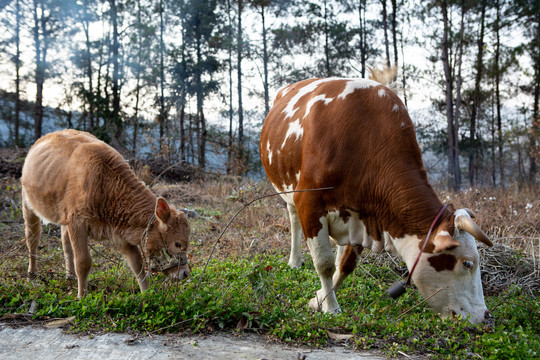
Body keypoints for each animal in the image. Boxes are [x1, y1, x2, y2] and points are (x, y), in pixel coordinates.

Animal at [21, 129, 190, 296]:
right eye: (177, 243)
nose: (185, 273)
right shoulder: (77, 223)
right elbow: (83, 262)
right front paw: (82, 297)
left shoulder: (120, 233)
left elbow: (137, 264)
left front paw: (146, 294)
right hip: (28, 204)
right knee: (32, 239)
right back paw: (31, 275)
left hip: (64, 216)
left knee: (66, 244)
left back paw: (70, 276)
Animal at [260, 76, 494, 324]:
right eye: (467, 263)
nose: (485, 316)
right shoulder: (309, 205)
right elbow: (324, 265)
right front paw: (331, 307)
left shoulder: (362, 215)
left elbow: (345, 265)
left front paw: (319, 298)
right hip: (287, 189)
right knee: (293, 218)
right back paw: (295, 261)